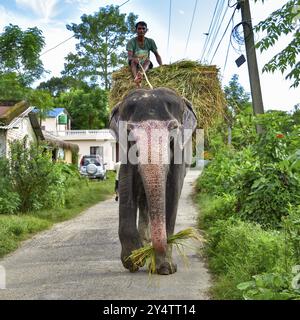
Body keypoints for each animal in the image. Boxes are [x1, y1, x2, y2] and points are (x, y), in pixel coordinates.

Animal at [109, 87, 197, 276]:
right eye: (130, 134)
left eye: (172, 133)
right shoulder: (125, 153)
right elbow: (126, 186)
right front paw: (133, 260)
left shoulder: (179, 153)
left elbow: (172, 192)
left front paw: (165, 269)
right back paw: (144, 243)